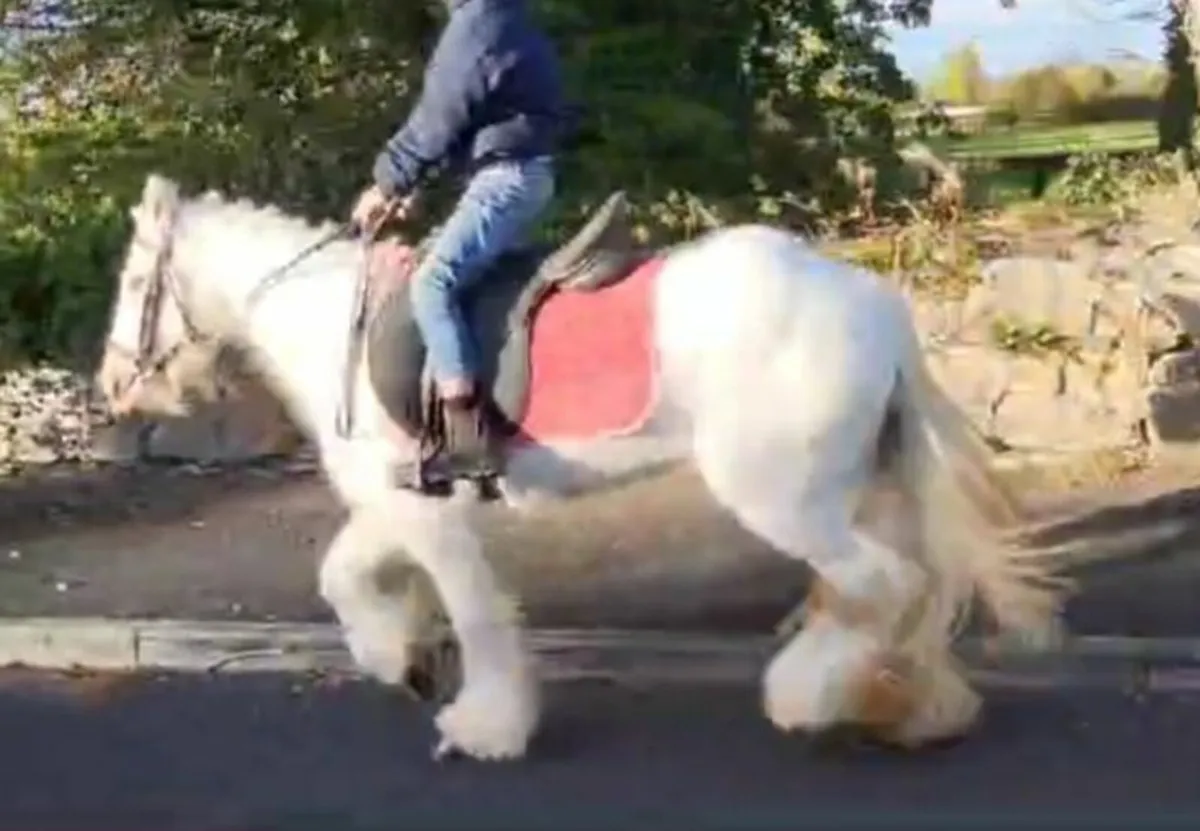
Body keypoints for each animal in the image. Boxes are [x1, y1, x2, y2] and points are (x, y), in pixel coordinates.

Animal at [95, 173, 1066, 762]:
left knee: (884, 584)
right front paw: (400, 656)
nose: (109, 384)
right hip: (851, 489)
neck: (334, 319)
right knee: (906, 590)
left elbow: (473, 613)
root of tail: (870, 301)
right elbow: (343, 574)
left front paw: (481, 723)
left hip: (785, 497)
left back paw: (809, 697)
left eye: (137, 280)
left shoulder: (429, 514)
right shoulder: (392, 502)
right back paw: (914, 705)